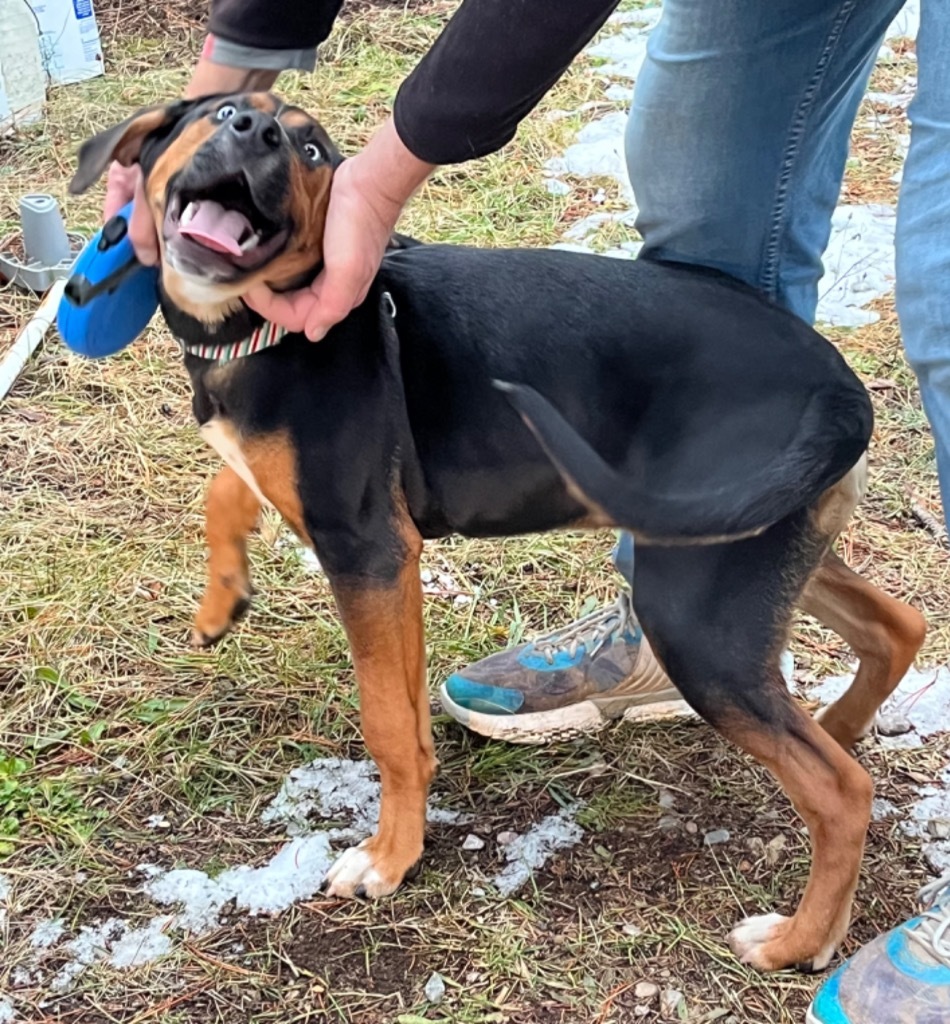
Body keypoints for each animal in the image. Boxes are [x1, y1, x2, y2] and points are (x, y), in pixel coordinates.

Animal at [72, 92, 929, 970]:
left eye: (312, 151)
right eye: (218, 114)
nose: (259, 132)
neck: (263, 329)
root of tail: (838, 387)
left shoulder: (366, 549)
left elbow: (387, 723)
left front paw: (389, 860)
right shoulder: (390, 560)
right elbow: (239, 497)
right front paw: (222, 600)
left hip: (695, 608)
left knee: (842, 790)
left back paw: (798, 940)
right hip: (749, 546)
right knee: (899, 626)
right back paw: (841, 729)